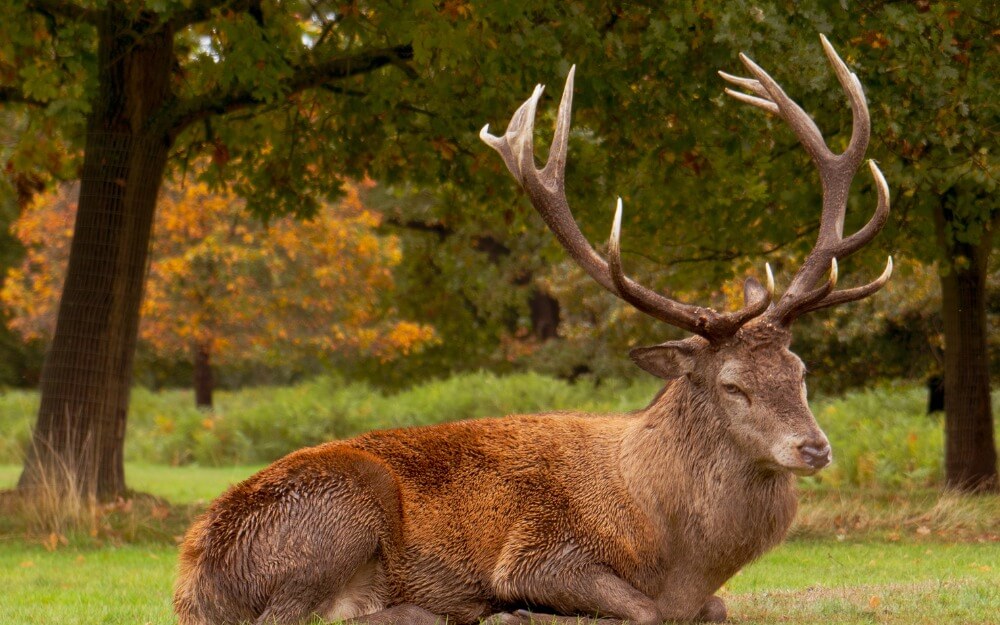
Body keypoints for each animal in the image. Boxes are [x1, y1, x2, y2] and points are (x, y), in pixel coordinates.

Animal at [174, 35, 891, 625]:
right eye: (733, 384)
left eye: (801, 371)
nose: (813, 447)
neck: (671, 545)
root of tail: (190, 575)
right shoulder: (539, 549)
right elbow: (645, 610)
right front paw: (525, 609)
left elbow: (715, 609)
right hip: (341, 502)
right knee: (297, 617)